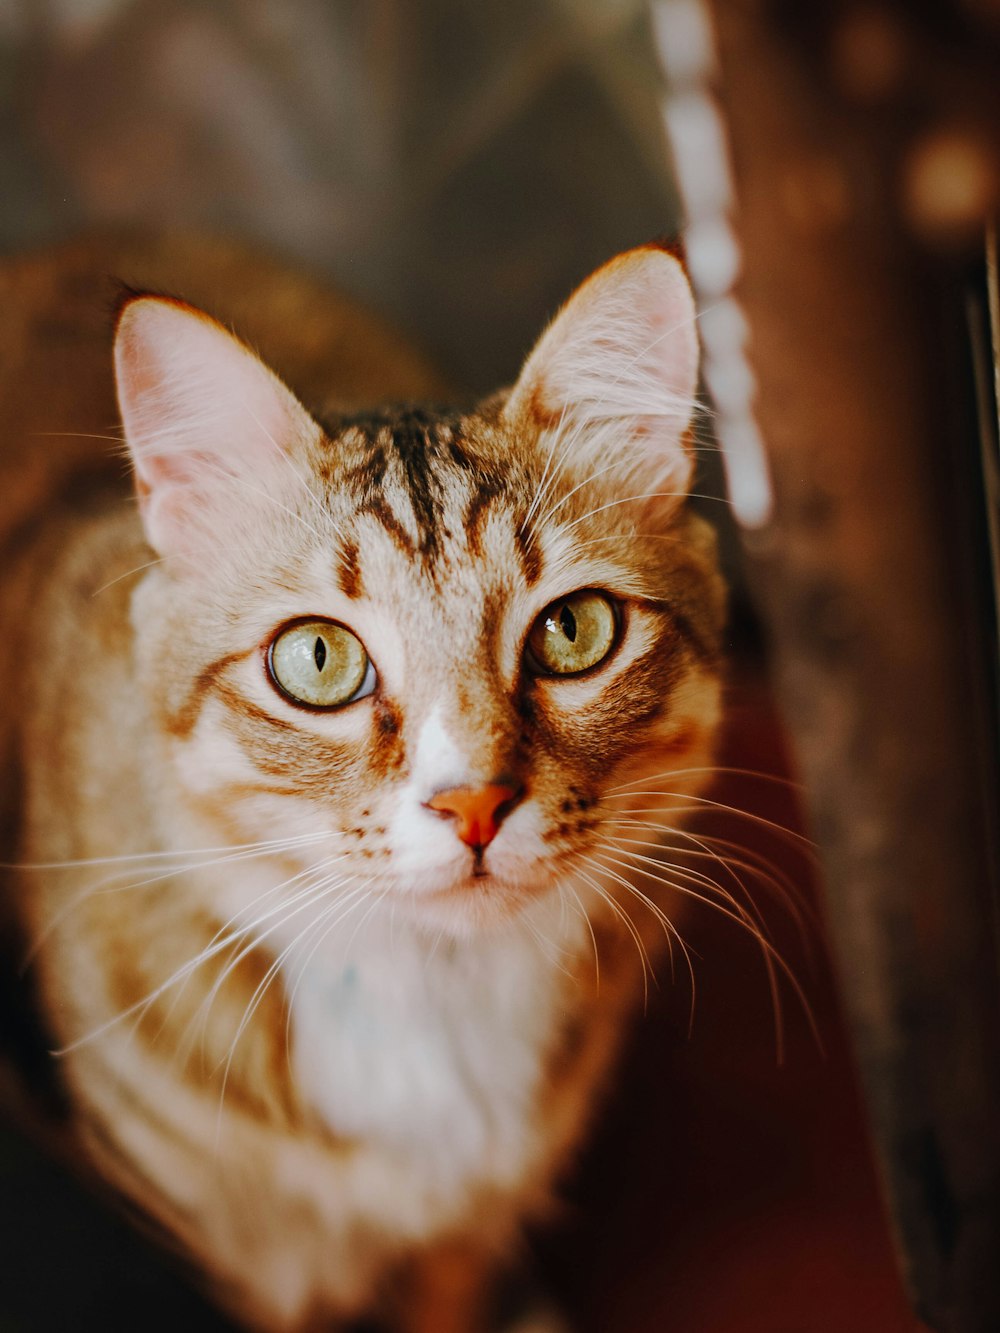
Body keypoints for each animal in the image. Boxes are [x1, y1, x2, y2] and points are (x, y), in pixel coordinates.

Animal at [0, 237, 720, 1333]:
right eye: (318, 659)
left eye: (574, 630)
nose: (473, 804)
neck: (429, 985)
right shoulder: (224, 1257)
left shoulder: (466, 1236)